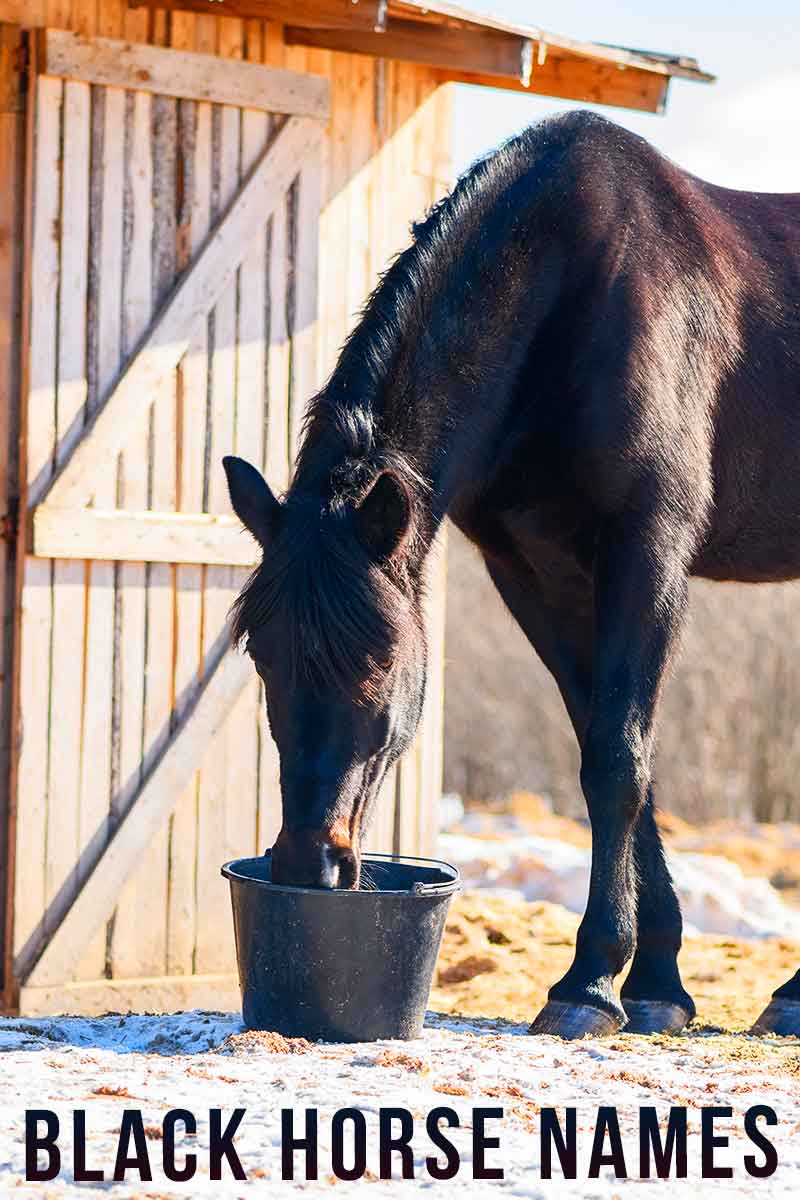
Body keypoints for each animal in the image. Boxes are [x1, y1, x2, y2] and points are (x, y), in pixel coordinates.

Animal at [221, 108, 800, 1036]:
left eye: (381, 661)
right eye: (262, 659)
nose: (310, 866)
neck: (574, 293)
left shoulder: (647, 552)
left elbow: (618, 762)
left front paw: (588, 986)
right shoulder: (535, 575)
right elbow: (612, 751)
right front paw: (655, 983)